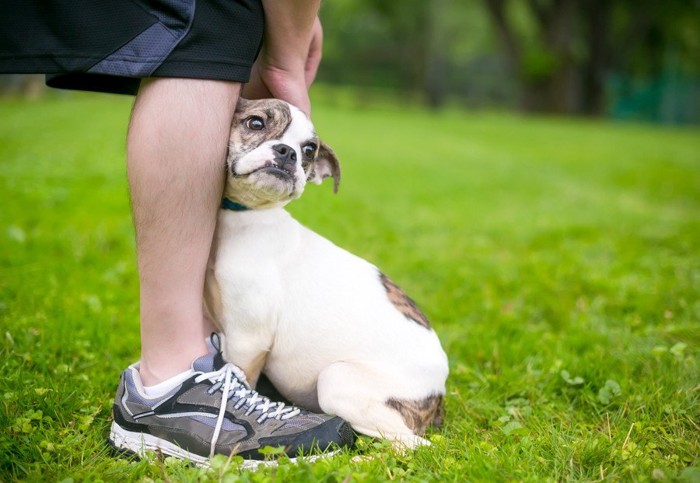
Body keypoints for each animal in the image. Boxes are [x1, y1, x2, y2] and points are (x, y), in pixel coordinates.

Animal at [205, 99, 448, 450]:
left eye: (308, 149)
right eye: (255, 123)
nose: (287, 152)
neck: (248, 217)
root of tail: (439, 394)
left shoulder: (246, 338)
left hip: (337, 381)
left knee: (410, 445)